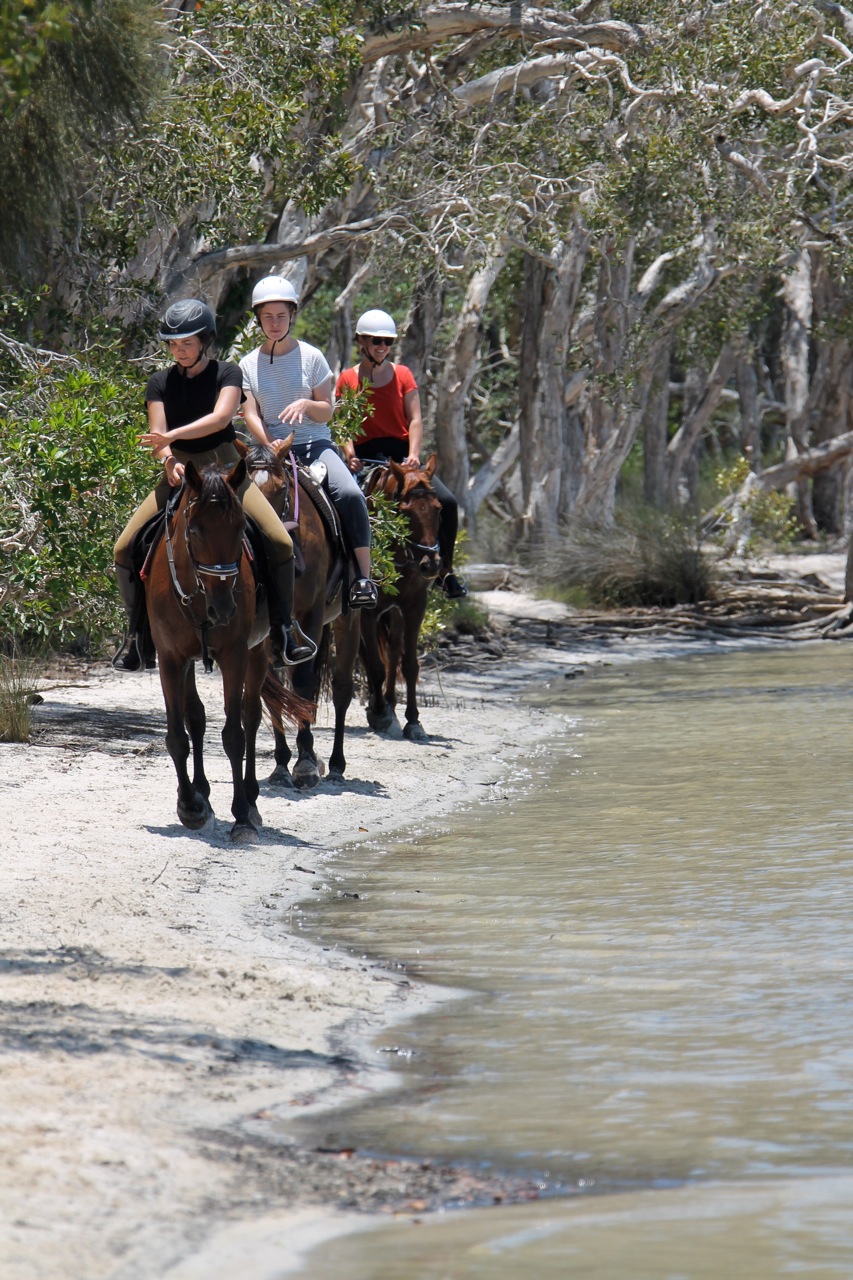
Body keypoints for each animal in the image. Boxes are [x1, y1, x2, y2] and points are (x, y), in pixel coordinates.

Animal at [142, 453, 312, 839]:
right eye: (194, 530)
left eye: (239, 530)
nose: (223, 608)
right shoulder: (170, 658)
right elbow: (178, 735)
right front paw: (190, 806)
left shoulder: (234, 655)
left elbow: (235, 734)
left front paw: (241, 816)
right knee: (196, 717)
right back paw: (202, 794)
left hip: (257, 651)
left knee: (250, 717)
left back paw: (250, 799)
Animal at [245, 435, 358, 783]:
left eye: (282, 489)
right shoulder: (263, 630)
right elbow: (272, 693)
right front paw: (282, 762)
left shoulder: (311, 615)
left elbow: (305, 683)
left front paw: (306, 762)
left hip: (347, 619)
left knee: (342, 689)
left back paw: (335, 764)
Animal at [345, 458, 438, 742]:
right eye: (406, 512)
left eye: (438, 509)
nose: (430, 565)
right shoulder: (368, 611)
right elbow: (374, 665)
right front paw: (378, 712)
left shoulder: (415, 606)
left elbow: (409, 664)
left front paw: (413, 721)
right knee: (367, 655)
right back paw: (380, 706)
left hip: (395, 613)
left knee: (394, 650)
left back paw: (391, 704)